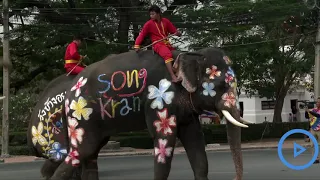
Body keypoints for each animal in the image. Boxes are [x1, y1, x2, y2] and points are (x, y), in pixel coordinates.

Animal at [45, 47, 251, 180]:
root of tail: (70, 89)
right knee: (83, 150)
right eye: (222, 85)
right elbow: (164, 140)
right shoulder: (158, 99)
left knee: (91, 154)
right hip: (81, 115)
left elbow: (195, 140)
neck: (189, 54)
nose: (234, 178)